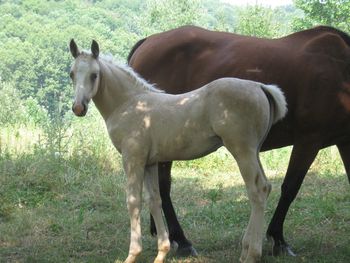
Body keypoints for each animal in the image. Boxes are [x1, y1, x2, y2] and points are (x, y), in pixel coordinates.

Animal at [69, 39, 288, 263]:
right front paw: (162, 253)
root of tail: (260, 86)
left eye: (94, 75)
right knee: (265, 187)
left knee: (257, 190)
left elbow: (133, 202)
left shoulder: (133, 159)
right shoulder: (150, 163)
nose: (78, 108)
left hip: (242, 151)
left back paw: (252, 254)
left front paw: (132, 255)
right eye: (72, 74)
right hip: (254, 151)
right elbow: (154, 200)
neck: (128, 104)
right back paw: (245, 250)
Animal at [128, 26, 350, 258]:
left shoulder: (345, 141)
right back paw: (181, 240)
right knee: (164, 187)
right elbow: (290, 188)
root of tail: (148, 41)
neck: (341, 72)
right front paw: (278, 239)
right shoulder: (309, 140)